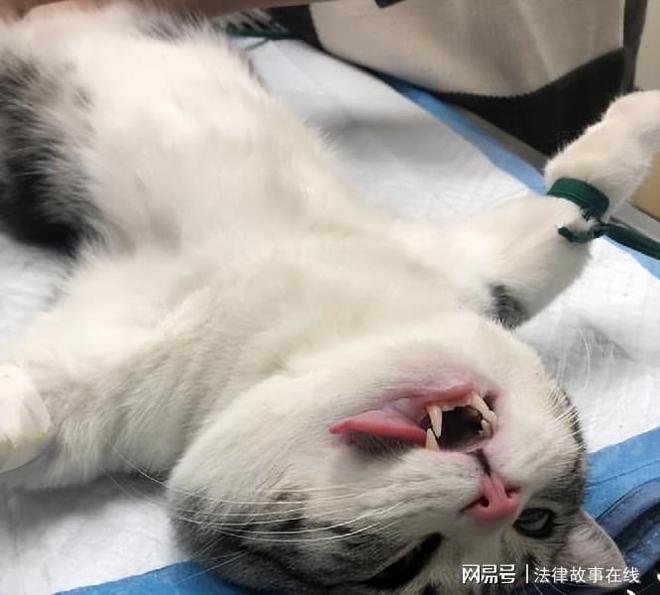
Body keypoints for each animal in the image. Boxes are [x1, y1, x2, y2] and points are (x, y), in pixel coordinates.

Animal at [1, 3, 658, 593]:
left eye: (534, 521)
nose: (498, 499)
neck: (318, 331)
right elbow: (565, 223)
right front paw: (646, 106)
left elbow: (566, 217)